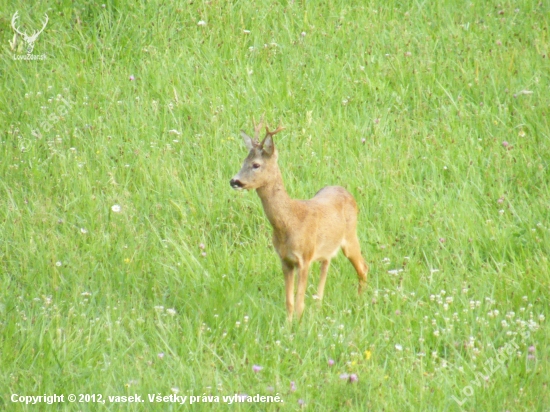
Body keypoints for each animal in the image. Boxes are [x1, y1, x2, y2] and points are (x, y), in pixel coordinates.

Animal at [231, 119, 368, 322]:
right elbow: (289, 302)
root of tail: (347, 192)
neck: (289, 222)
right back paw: (319, 307)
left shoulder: (304, 258)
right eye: (243, 162)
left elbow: (299, 302)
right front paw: (288, 325)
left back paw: (359, 303)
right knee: (326, 267)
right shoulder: (285, 260)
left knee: (363, 267)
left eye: (256, 165)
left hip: (350, 236)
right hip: (327, 248)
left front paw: (299, 325)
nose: (234, 181)